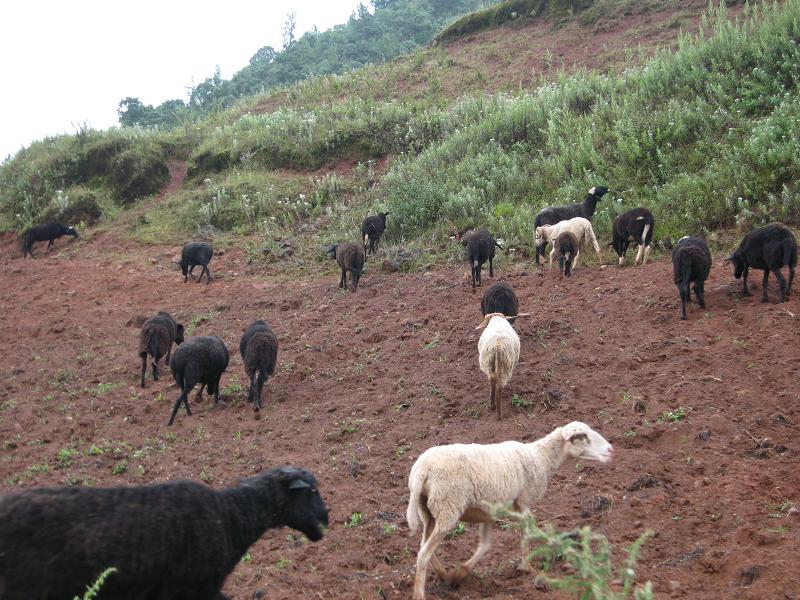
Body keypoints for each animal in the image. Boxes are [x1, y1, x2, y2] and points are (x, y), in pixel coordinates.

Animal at [410, 422, 616, 600]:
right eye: (582, 436)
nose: (610, 450)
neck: (541, 457)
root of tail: (422, 470)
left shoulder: (489, 511)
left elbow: (485, 545)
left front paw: (460, 573)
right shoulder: (524, 502)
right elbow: (525, 535)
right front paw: (526, 568)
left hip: (428, 512)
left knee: (423, 546)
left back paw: (443, 574)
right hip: (448, 507)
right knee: (423, 554)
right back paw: (419, 594)